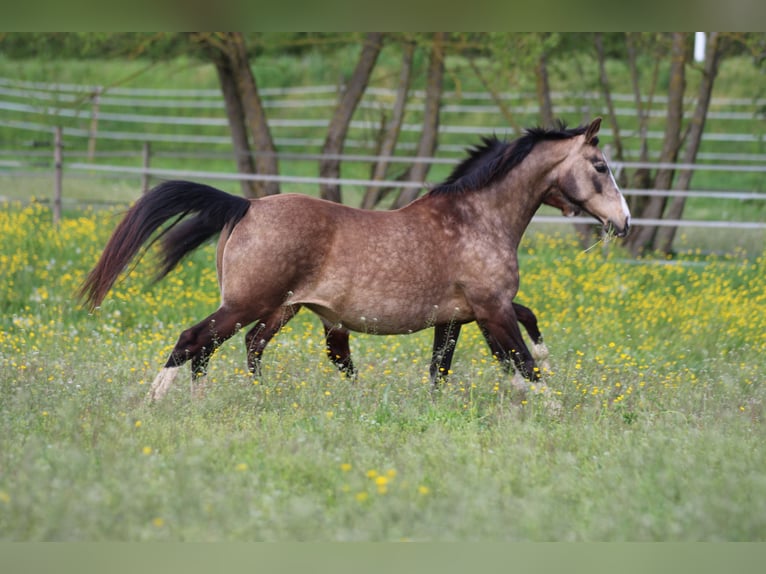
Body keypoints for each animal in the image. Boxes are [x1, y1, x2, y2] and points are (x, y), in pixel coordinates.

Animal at [80, 117, 630, 401]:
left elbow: (449, 366)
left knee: (239, 347)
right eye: (600, 166)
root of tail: (247, 204)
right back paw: (158, 400)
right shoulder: (489, 308)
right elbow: (522, 362)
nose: (623, 222)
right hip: (248, 302)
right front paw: (550, 404)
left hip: (280, 308)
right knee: (194, 340)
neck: (477, 218)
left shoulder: (461, 314)